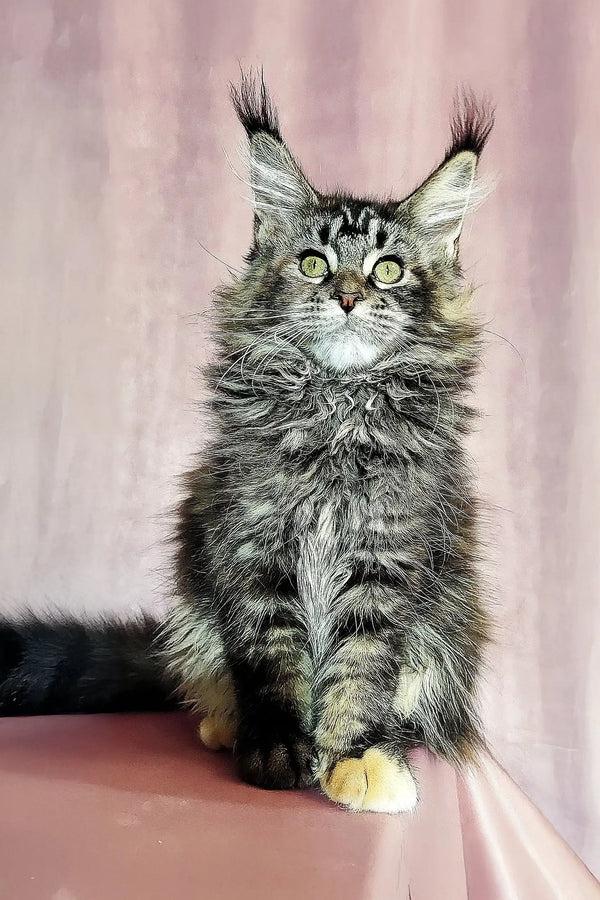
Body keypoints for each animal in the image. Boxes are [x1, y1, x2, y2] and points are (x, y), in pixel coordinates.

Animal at [2, 74, 494, 812]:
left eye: (388, 271)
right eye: (315, 264)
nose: (349, 296)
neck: (335, 419)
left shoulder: (386, 561)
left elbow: (361, 671)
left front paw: (356, 757)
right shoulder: (253, 547)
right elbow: (272, 662)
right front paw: (277, 749)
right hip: (196, 608)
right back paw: (226, 723)